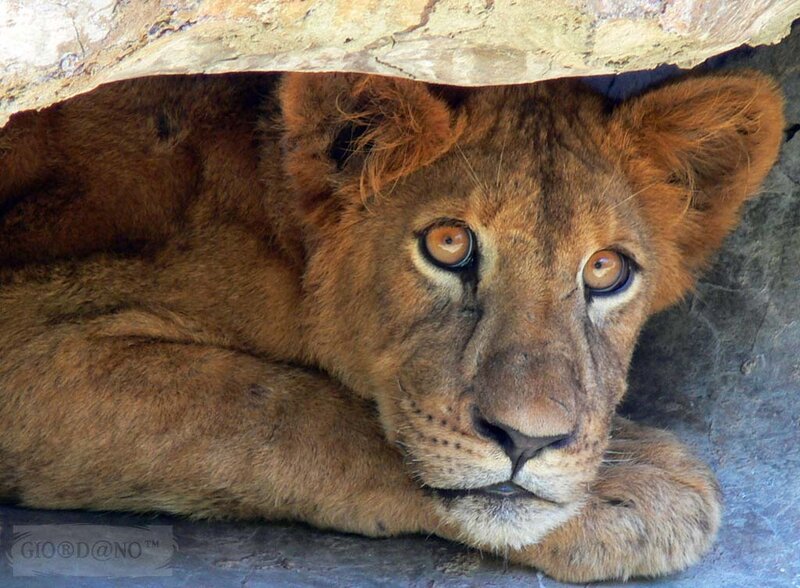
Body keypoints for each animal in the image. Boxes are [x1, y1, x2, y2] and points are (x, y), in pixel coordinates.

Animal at [0, 70, 784, 582]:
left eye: (604, 270)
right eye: (448, 244)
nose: (528, 441)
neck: (277, 238)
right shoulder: (28, 331)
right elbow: (273, 409)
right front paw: (637, 485)